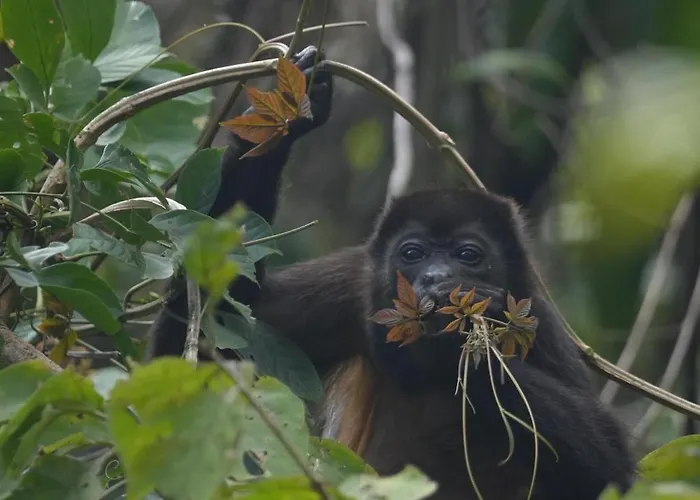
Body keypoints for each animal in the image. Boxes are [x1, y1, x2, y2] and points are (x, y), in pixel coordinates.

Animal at [146, 46, 635, 499]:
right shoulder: (346, 290)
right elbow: (199, 345)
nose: (435, 278)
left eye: (468, 254)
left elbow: (610, 466)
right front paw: (290, 110)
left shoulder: (538, 319)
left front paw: (466, 332)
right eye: (413, 253)